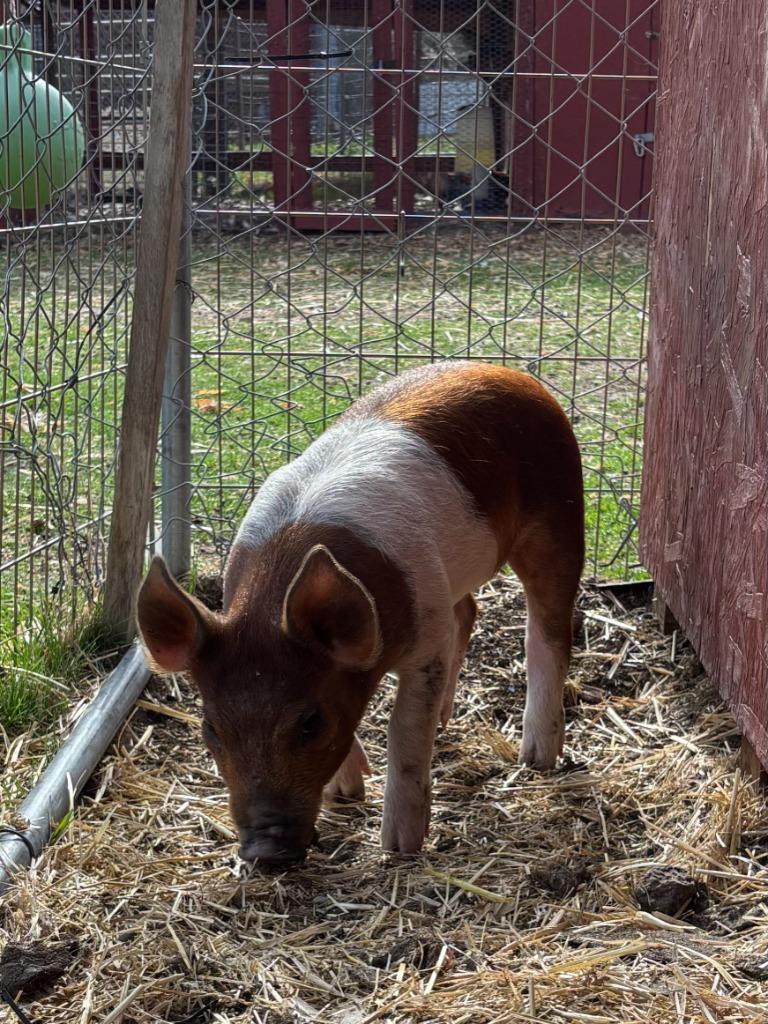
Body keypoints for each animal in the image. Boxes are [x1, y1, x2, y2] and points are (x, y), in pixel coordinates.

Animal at [136, 362, 584, 864]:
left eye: (310, 722)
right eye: (211, 728)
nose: (264, 851)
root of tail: (504, 370)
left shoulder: (425, 640)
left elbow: (404, 730)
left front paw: (399, 847)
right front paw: (345, 795)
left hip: (561, 515)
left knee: (549, 631)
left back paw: (537, 757)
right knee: (468, 611)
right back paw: (448, 720)